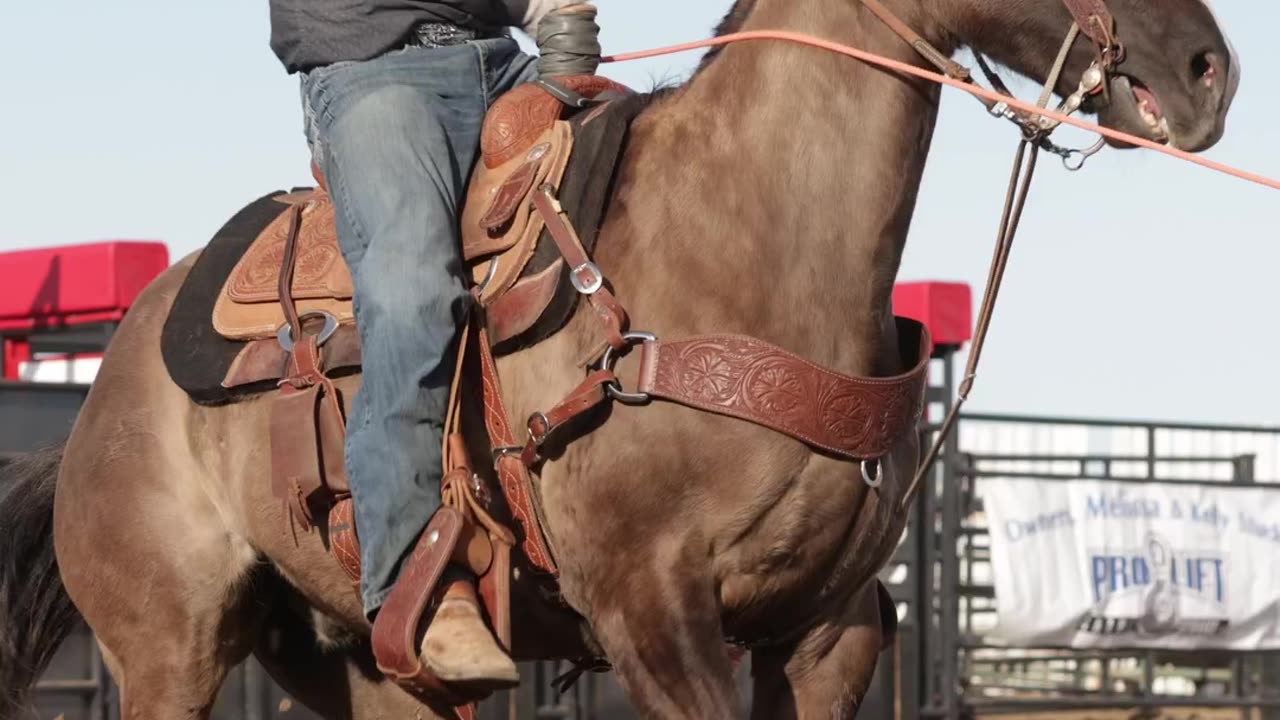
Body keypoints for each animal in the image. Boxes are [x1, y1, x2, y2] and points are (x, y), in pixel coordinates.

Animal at [0, 1, 1239, 717]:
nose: (1205, 68)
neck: (739, 244)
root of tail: (109, 384)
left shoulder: (828, 630)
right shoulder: (652, 614)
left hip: (356, 662)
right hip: (166, 646)